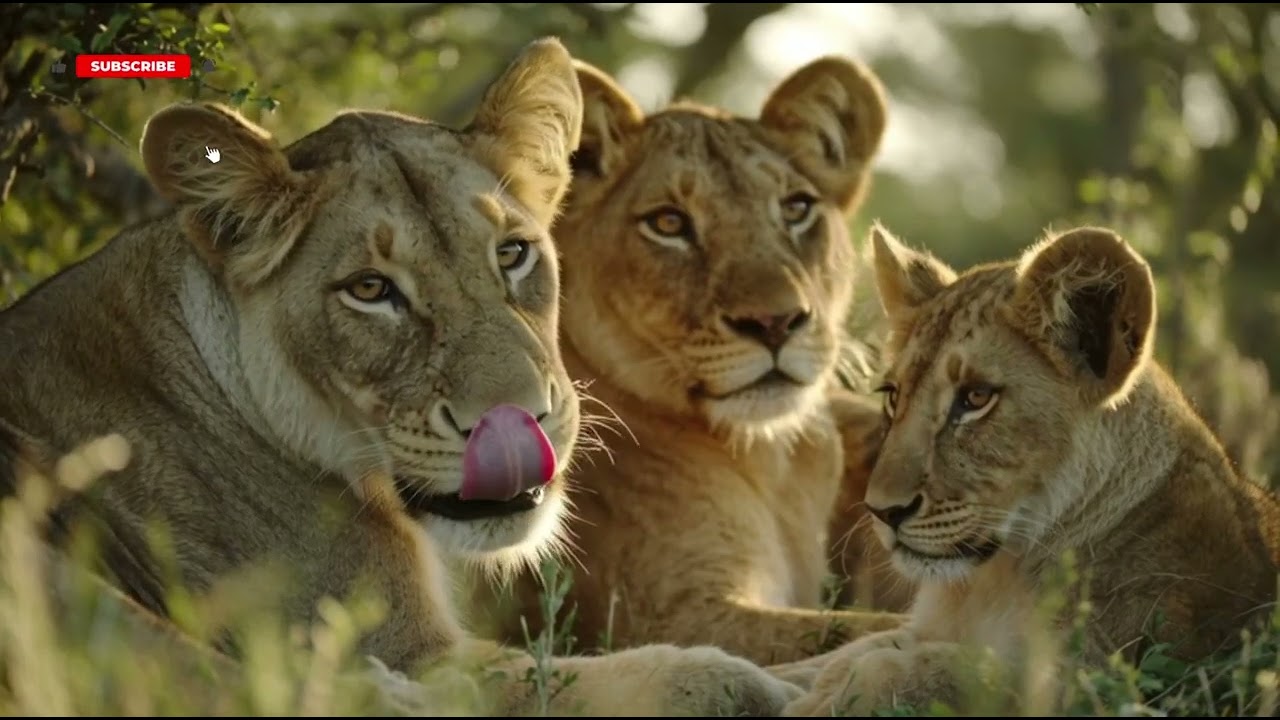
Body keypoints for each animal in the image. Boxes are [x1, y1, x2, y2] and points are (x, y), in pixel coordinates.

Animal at [0, 38, 800, 716]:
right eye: (370, 290)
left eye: (512, 254)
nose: (520, 420)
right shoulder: (418, 650)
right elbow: (629, 679)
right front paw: (765, 683)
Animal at [472, 56, 908, 667]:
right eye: (669, 223)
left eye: (796, 209)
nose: (775, 323)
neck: (774, 464)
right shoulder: (664, 619)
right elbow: (875, 629)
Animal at [775, 223, 1280, 716]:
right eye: (894, 396)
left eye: (976, 398)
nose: (882, 512)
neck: (992, 581)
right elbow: (833, 658)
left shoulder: (1111, 679)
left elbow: (907, 671)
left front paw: (817, 703)